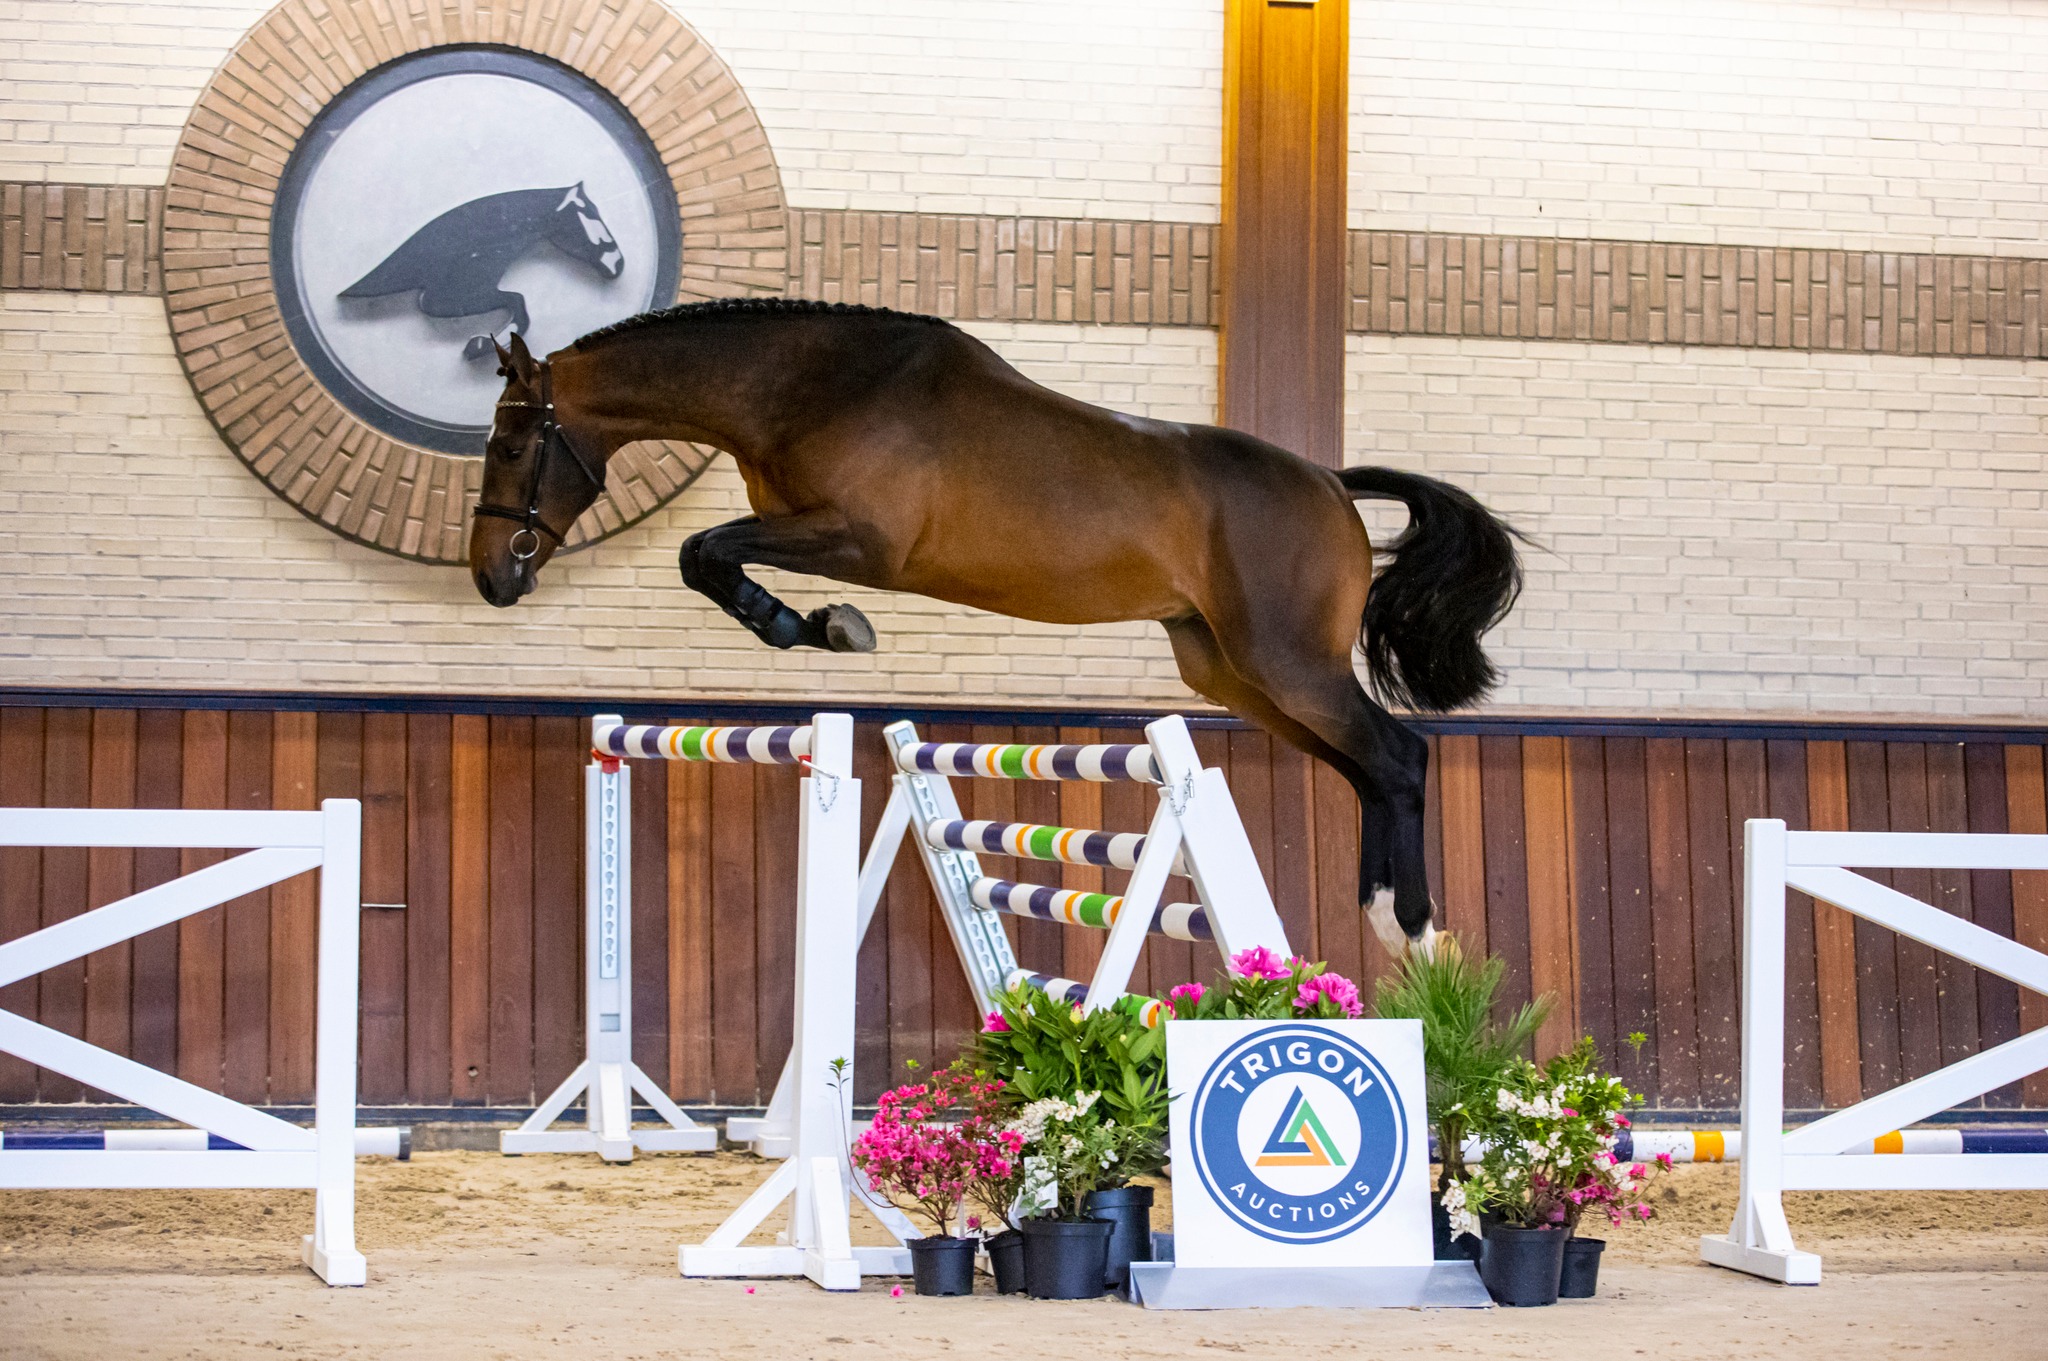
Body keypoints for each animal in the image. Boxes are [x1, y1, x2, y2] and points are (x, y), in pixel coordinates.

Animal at [342, 183, 623, 360]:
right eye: (588, 216)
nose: (617, 263)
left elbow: (517, 302)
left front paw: (481, 344)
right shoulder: (441, 300)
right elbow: (518, 301)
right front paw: (479, 344)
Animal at [468, 298, 1521, 956]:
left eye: (513, 443)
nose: (492, 576)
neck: (809, 386)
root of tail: (1332, 485)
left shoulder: (861, 541)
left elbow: (705, 551)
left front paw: (821, 623)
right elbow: (707, 556)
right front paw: (813, 623)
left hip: (1288, 663)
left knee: (1397, 756)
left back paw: (1410, 924)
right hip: (1232, 674)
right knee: (1366, 770)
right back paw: (1390, 922)